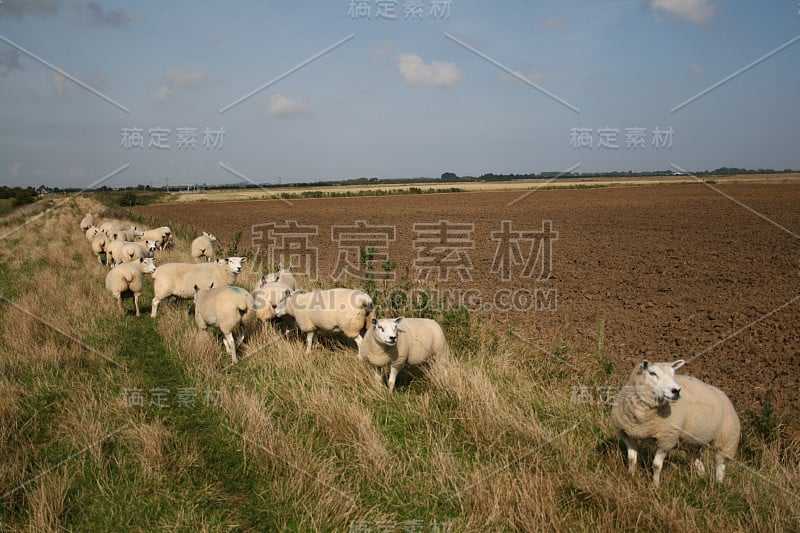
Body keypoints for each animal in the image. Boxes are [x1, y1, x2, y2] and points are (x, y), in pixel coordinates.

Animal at [608, 358, 740, 486]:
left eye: (673, 374)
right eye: (652, 373)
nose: (676, 390)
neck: (641, 419)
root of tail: (723, 394)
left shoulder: (666, 440)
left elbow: (656, 465)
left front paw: (655, 486)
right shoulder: (627, 435)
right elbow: (631, 459)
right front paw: (630, 477)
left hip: (726, 440)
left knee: (720, 464)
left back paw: (718, 484)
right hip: (692, 441)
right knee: (697, 460)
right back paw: (702, 477)